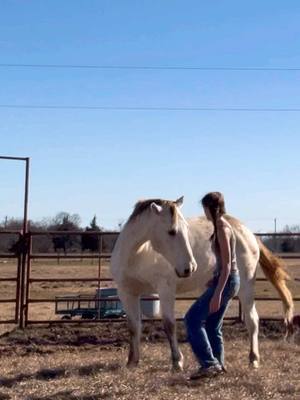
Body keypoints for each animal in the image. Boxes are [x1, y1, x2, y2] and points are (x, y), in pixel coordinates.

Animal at [110, 198, 292, 370]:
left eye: (185, 229)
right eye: (171, 231)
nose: (190, 267)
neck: (137, 255)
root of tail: (247, 232)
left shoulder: (165, 290)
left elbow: (169, 325)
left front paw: (177, 362)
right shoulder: (127, 293)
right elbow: (134, 326)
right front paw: (132, 361)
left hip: (246, 286)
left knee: (252, 320)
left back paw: (253, 359)